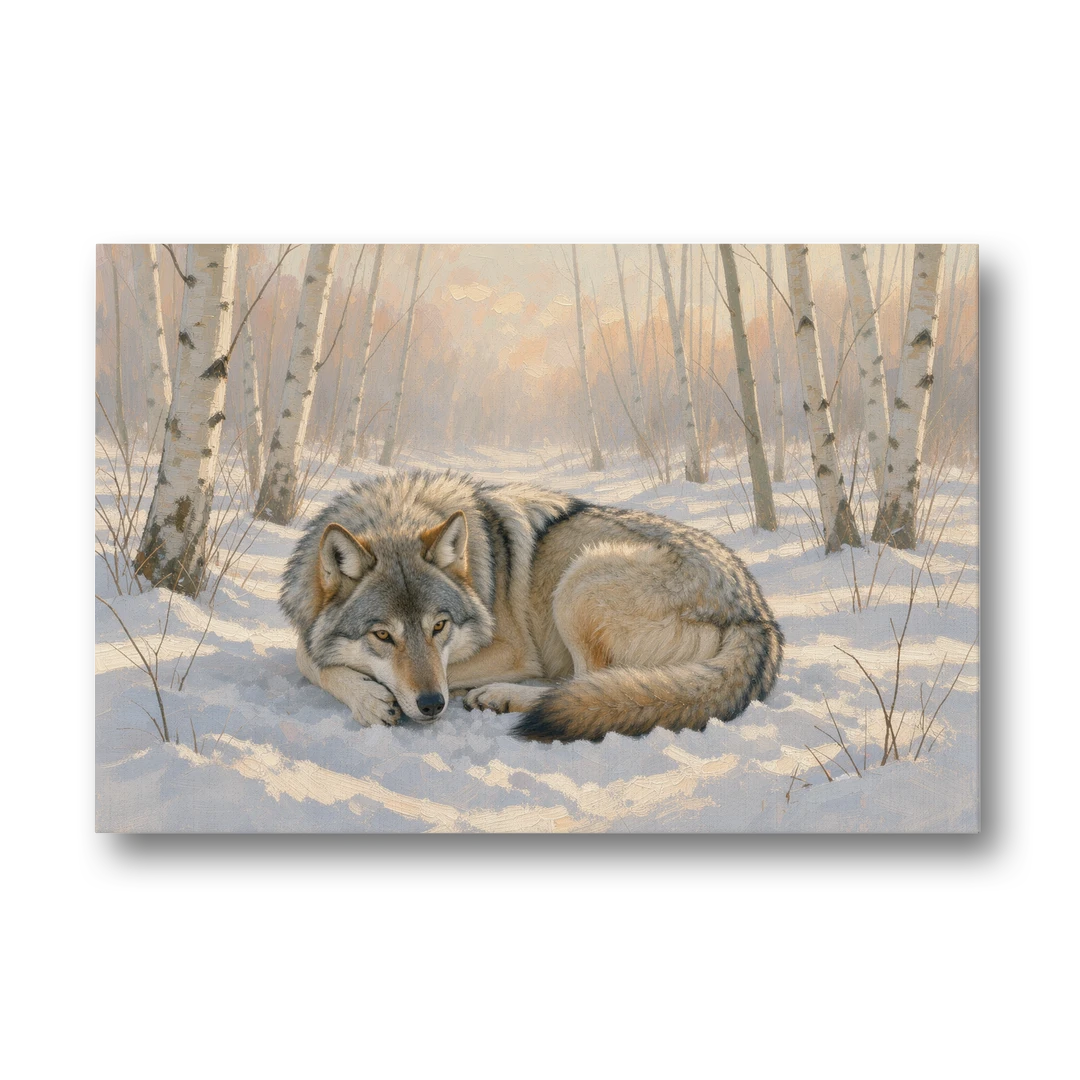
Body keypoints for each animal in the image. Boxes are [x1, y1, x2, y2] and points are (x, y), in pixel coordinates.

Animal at [280, 470, 783, 742]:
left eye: (439, 627)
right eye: (383, 635)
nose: (431, 706)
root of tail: (756, 614)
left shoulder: (512, 651)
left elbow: (314, 658)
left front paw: (372, 695)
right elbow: (309, 656)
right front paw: (366, 695)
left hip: (581, 579)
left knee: (585, 682)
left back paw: (500, 695)